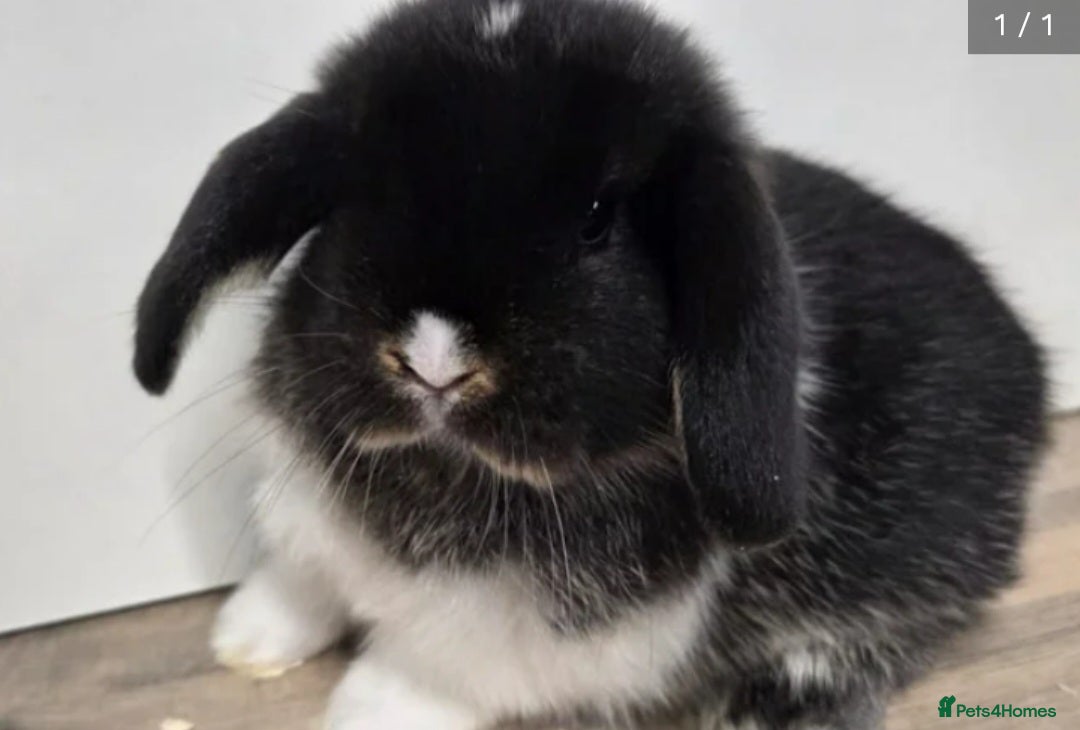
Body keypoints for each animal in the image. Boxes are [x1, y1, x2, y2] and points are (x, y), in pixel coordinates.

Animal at [131, 0, 1048, 727]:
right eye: (358, 199)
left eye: (598, 220)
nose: (434, 363)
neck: (440, 471)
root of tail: (1029, 361)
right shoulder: (311, 518)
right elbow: (302, 578)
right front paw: (246, 640)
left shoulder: (526, 630)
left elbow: (435, 667)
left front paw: (363, 712)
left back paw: (768, 707)